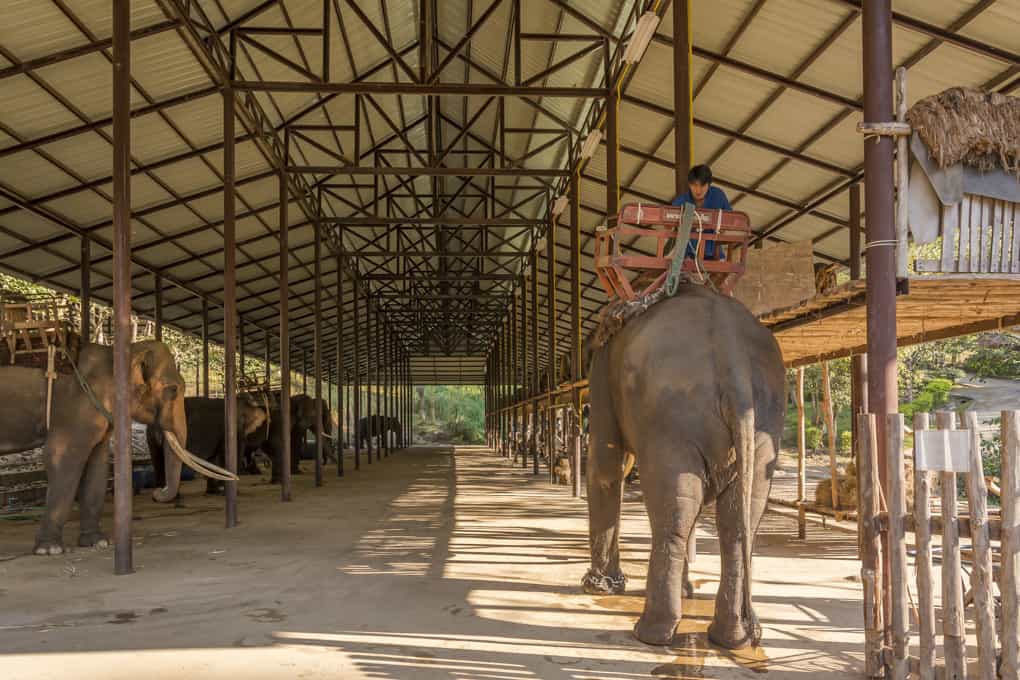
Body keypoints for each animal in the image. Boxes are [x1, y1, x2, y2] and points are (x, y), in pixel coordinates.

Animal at [0, 342, 202, 554]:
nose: (157, 492)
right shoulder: (76, 409)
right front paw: (50, 550)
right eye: (173, 389)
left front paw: (98, 543)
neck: (116, 354)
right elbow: (62, 458)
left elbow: (97, 464)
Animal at [579, 285, 783, 652]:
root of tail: (734, 357)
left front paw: (597, 587)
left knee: (674, 512)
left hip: (670, 417)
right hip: (765, 422)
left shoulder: (602, 372)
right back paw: (734, 637)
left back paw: (650, 634)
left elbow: (605, 467)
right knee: (735, 519)